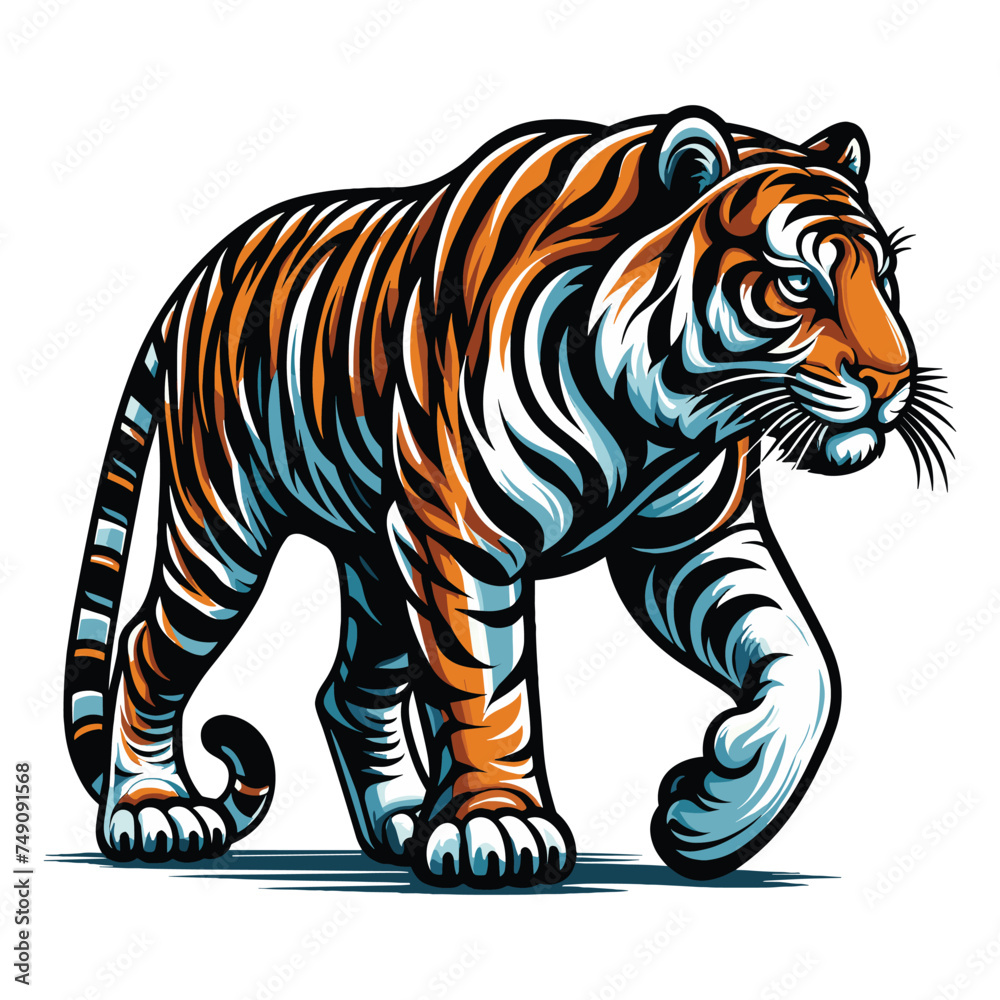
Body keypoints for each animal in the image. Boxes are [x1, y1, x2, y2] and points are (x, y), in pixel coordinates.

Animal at [64, 105, 951, 889]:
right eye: (797, 282)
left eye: (887, 278)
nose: (892, 380)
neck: (650, 419)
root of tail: (197, 275)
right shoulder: (464, 533)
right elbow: (485, 684)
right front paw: (499, 826)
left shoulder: (695, 542)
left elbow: (804, 665)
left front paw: (711, 820)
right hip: (225, 529)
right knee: (147, 645)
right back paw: (151, 812)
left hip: (377, 558)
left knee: (352, 690)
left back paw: (403, 822)